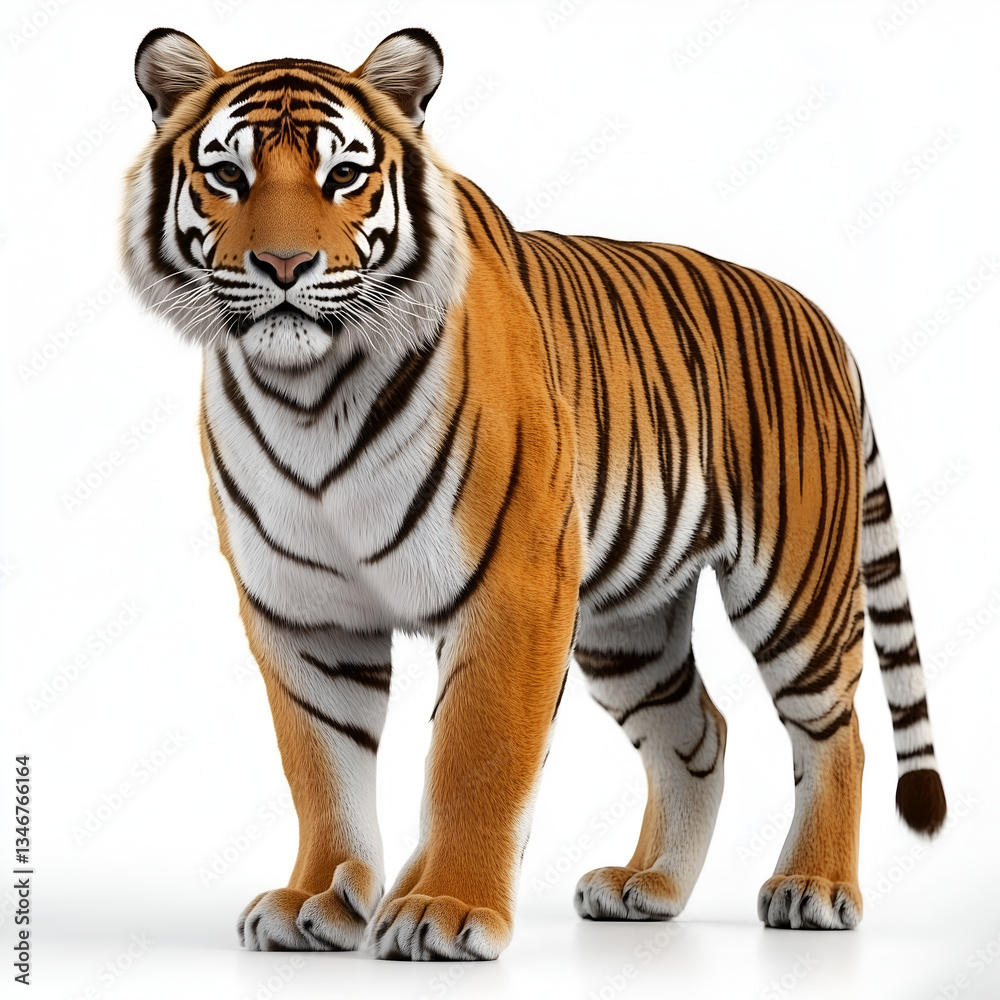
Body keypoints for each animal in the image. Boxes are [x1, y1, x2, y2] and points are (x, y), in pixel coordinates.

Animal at [120, 26, 947, 960]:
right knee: (698, 732)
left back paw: (814, 887)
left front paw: (444, 911)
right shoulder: (304, 613)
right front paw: (317, 900)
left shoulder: (512, 588)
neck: (306, 395)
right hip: (629, 624)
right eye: (229, 174)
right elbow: (319, 767)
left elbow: (476, 758)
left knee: (837, 732)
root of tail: (819, 316)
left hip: (795, 586)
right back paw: (647, 887)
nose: (286, 265)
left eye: (344, 175)